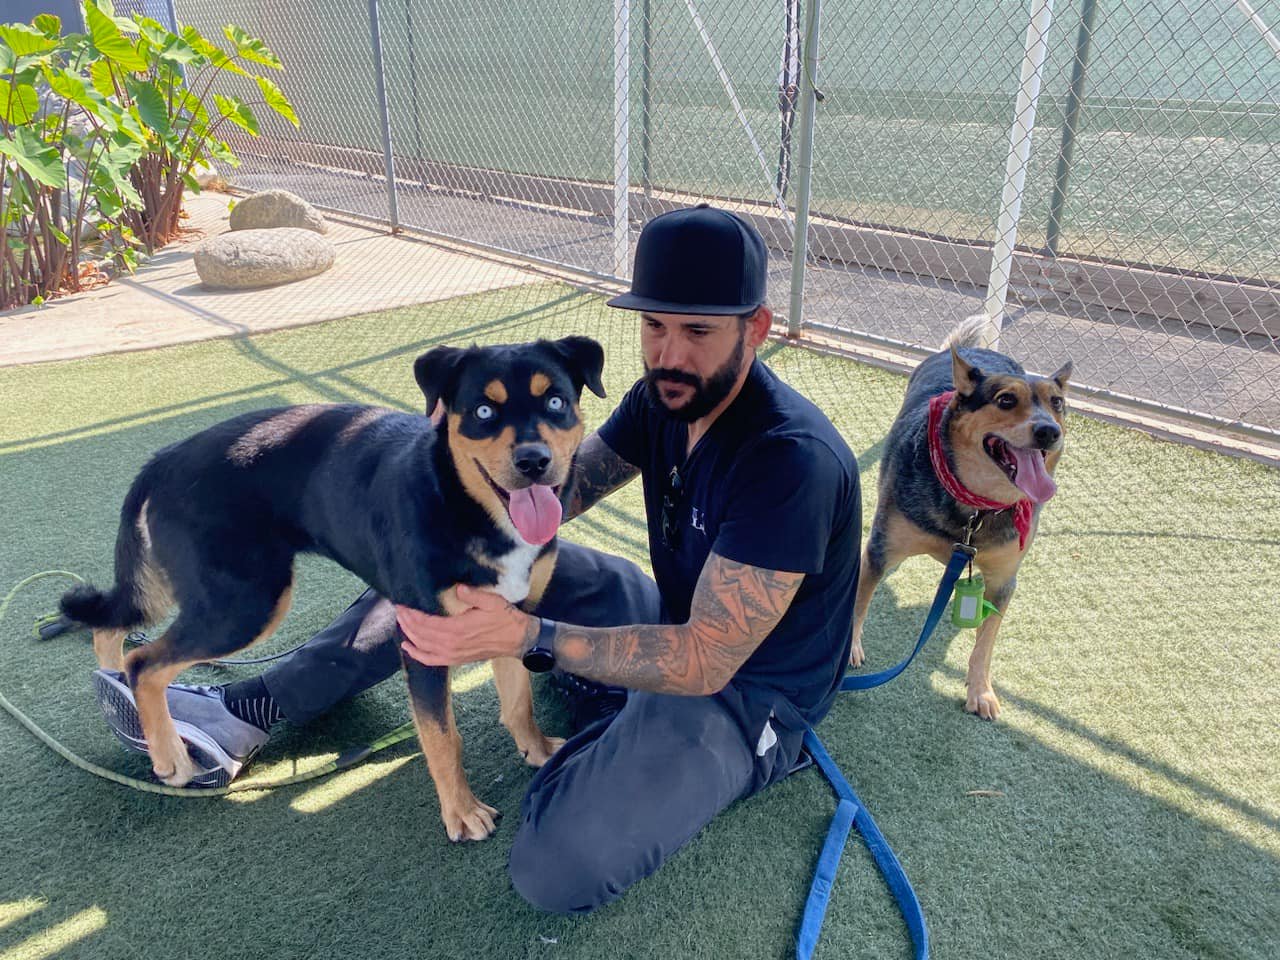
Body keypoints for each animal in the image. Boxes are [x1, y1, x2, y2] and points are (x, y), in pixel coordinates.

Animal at [63, 335, 609, 839]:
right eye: (483, 411)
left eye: (556, 402)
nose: (534, 461)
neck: (463, 503)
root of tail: (164, 457)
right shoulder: (424, 642)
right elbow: (443, 738)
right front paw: (462, 813)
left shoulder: (511, 615)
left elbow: (518, 700)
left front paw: (536, 750)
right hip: (246, 603)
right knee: (144, 661)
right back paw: (170, 755)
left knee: (113, 629)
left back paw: (115, 688)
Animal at [849, 323, 1070, 721]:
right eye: (1005, 400)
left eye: (1056, 402)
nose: (1049, 431)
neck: (974, 509)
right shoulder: (880, 548)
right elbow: (859, 602)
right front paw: (848, 650)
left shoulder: (1003, 580)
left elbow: (985, 643)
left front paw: (980, 691)